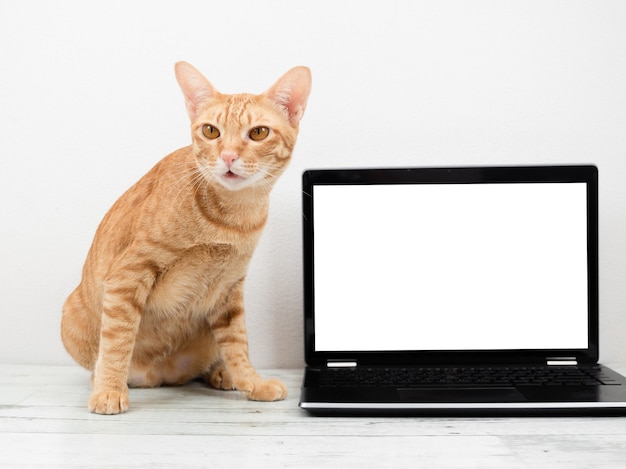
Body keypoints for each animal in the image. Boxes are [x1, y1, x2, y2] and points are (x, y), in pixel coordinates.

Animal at [61, 61, 310, 414]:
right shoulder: (127, 275)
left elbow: (237, 343)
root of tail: (163, 376)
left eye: (259, 133)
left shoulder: (229, 287)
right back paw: (106, 380)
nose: (228, 157)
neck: (232, 217)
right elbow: (117, 339)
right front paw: (109, 389)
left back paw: (221, 373)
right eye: (211, 131)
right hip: (71, 315)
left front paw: (252, 382)